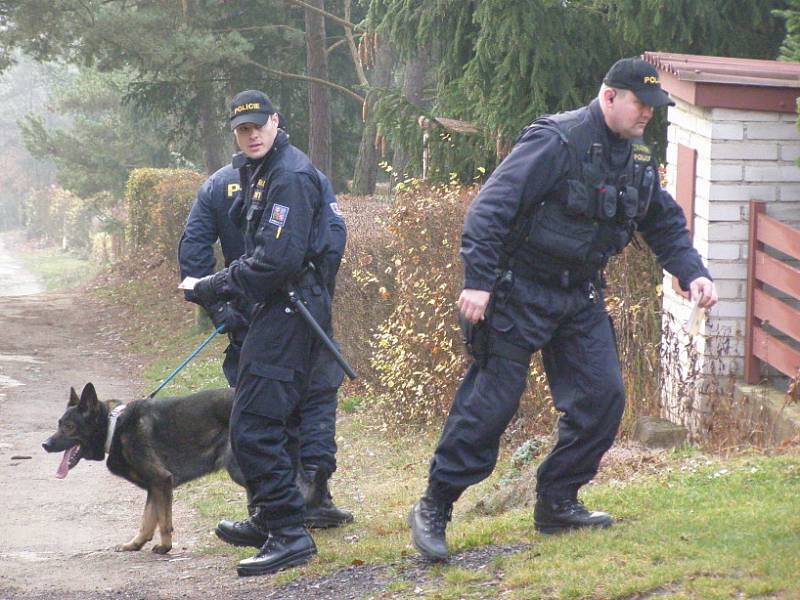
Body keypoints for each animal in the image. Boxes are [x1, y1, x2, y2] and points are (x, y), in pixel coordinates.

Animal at [43, 384, 244, 552]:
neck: (113, 427)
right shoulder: (153, 486)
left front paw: (165, 547)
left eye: (69, 426)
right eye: (59, 424)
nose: (44, 444)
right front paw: (135, 544)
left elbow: (163, 521)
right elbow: (147, 520)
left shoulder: (161, 480)